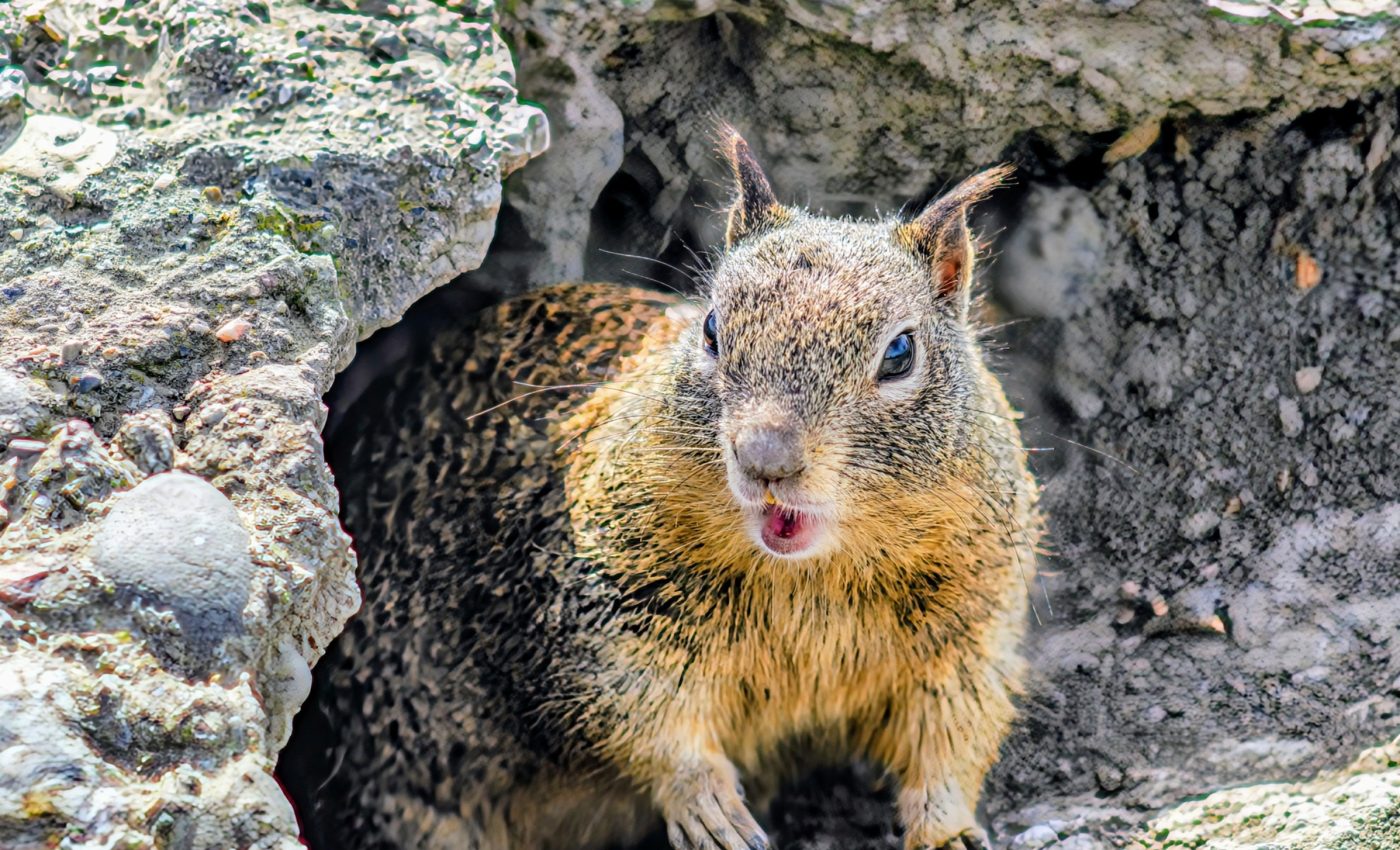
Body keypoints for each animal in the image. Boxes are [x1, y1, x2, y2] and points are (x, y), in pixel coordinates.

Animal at [301, 129, 1041, 850]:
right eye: (711, 328)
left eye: (899, 354)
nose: (764, 458)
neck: (808, 579)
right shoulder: (603, 610)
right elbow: (643, 716)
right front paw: (709, 806)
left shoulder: (970, 634)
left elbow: (951, 737)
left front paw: (948, 830)